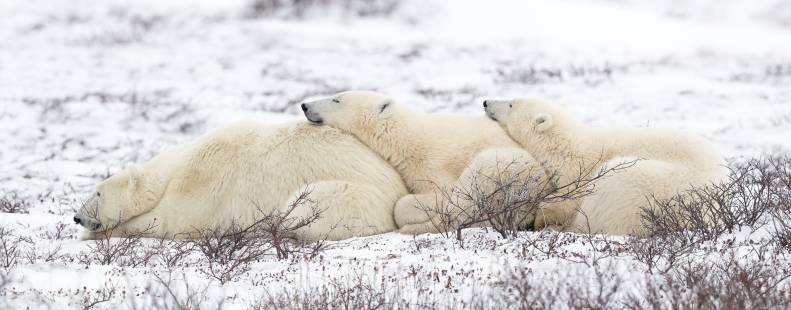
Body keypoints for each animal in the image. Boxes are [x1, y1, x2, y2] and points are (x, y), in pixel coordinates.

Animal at [73, 120, 408, 240]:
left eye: (97, 193)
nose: (77, 217)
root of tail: (399, 189)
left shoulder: (204, 182)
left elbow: (169, 221)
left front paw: (94, 234)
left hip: (352, 195)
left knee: (304, 207)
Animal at [482, 98, 732, 236]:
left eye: (511, 103)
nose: (485, 102)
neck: (565, 145)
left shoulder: (577, 171)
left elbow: (564, 201)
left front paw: (542, 218)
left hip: (642, 186)